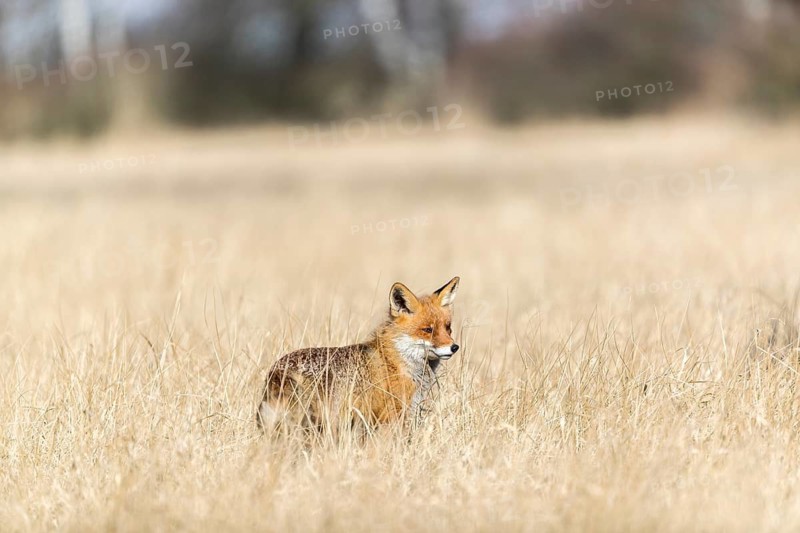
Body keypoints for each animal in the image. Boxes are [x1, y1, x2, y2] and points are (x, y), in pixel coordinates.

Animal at [257, 276, 460, 435]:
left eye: (448, 328)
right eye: (428, 330)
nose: (454, 347)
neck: (396, 360)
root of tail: (276, 370)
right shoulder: (391, 415)